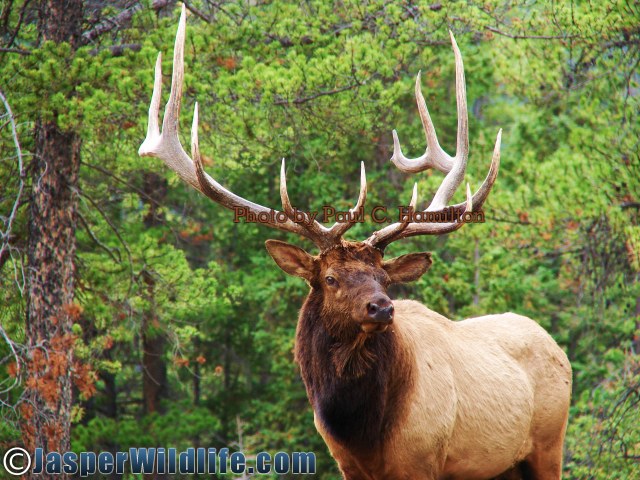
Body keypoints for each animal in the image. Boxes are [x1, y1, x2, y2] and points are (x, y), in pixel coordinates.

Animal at [139, 6, 572, 479]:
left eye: (384, 277)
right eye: (329, 278)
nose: (381, 307)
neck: (363, 433)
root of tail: (558, 348)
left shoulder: (424, 460)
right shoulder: (346, 464)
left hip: (548, 441)